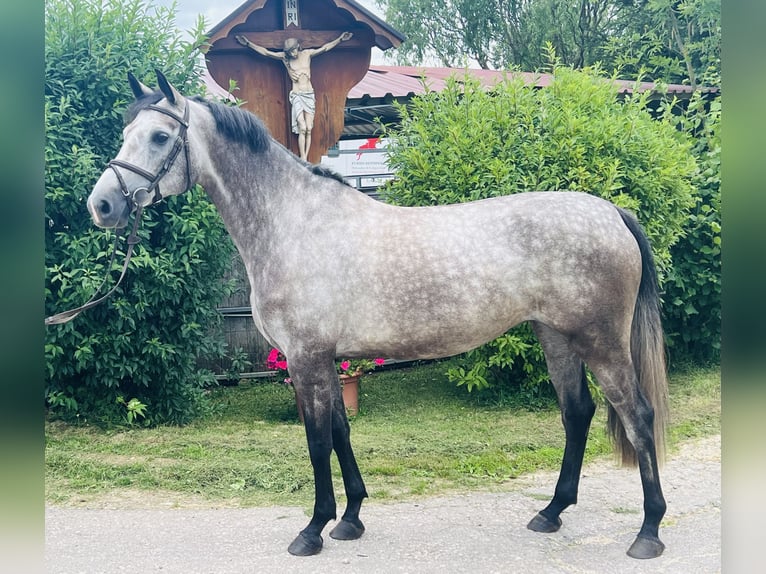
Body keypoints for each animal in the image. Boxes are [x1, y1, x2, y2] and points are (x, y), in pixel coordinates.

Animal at [85, 72, 672, 564]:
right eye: (126, 130)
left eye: (160, 137)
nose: (102, 206)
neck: (293, 222)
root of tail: (611, 211)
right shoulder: (326, 359)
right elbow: (341, 433)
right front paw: (349, 520)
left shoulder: (305, 359)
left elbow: (317, 440)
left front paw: (312, 530)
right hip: (556, 337)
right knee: (578, 413)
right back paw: (551, 513)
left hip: (601, 341)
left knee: (638, 416)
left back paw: (648, 532)